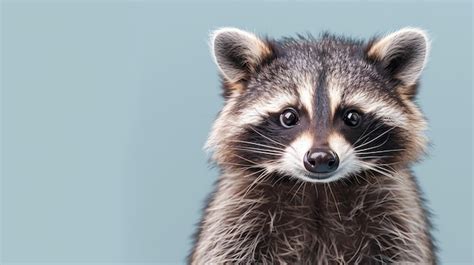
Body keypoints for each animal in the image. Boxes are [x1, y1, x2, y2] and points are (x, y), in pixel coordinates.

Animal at [189, 27, 436, 262]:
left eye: (352, 117)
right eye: (289, 116)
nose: (321, 158)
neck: (319, 190)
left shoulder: (397, 209)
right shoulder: (234, 212)